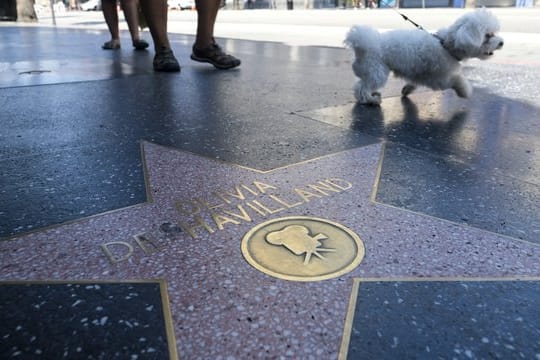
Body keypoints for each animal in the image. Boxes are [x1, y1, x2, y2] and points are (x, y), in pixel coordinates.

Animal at [344, 8, 504, 105]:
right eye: (488, 35)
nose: (502, 42)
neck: (446, 45)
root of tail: (365, 43)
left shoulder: (419, 73)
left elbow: (414, 82)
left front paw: (407, 89)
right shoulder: (439, 78)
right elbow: (457, 80)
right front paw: (466, 91)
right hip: (376, 71)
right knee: (361, 87)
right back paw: (370, 100)